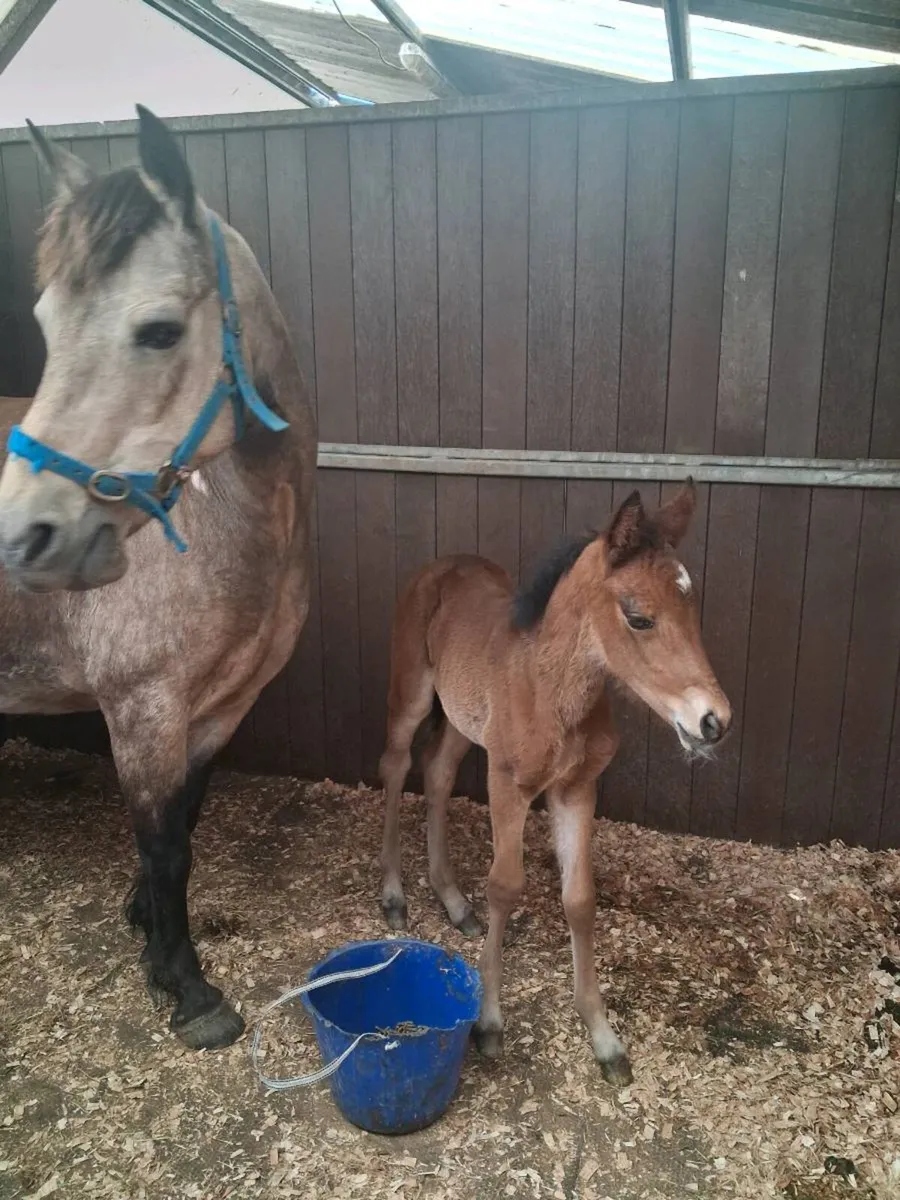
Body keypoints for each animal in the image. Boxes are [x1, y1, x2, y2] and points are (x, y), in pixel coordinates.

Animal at [0, 106, 316, 1052]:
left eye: (160, 331)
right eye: (47, 323)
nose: (24, 537)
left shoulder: (219, 706)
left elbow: (183, 825)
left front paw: (147, 928)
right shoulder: (142, 708)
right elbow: (160, 840)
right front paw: (189, 988)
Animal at [378, 483, 731, 1085]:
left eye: (693, 609)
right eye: (639, 618)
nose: (713, 721)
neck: (553, 688)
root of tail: (443, 563)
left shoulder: (576, 789)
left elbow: (580, 898)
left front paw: (604, 1038)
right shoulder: (507, 781)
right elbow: (505, 886)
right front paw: (489, 1021)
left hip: (463, 721)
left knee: (438, 772)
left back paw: (453, 901)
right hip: (413, 694)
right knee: (396, 765)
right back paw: (394, 896)